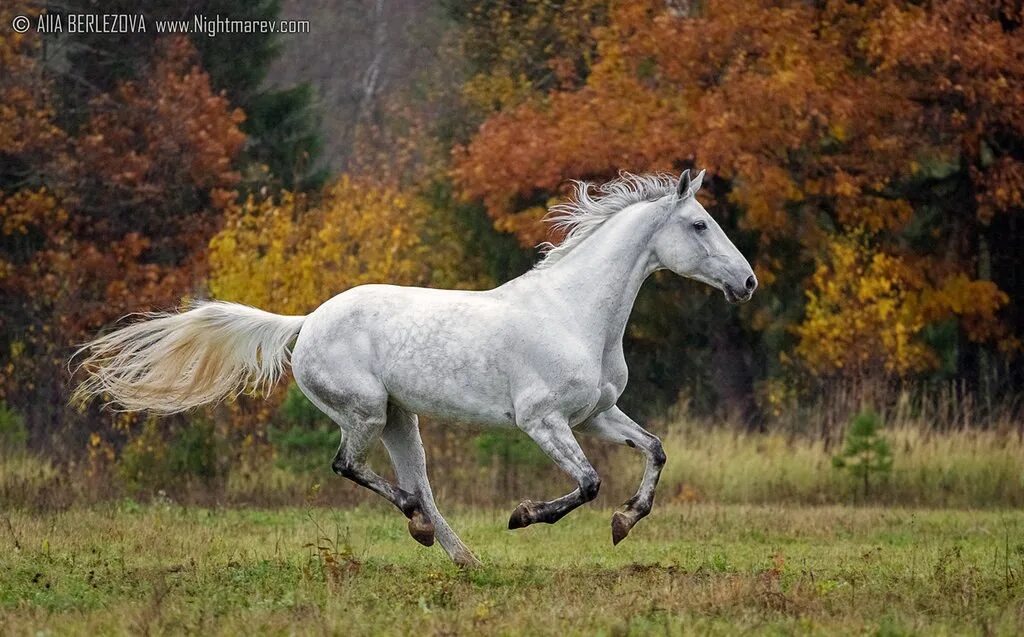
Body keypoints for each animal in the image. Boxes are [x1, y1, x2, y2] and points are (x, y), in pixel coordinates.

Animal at [75, 168, 757, 565]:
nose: (747, 283)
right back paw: (426, 528)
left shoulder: (597, 415)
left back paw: (458, 554)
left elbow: (655, 450)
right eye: (699, 224)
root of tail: (307, 321)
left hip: (401, 419)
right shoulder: (543, 421)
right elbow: (587, 483)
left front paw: (625, 522)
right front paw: (524, 516)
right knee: (355, 468)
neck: (572, 312)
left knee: (420, 484)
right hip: (366, 412)